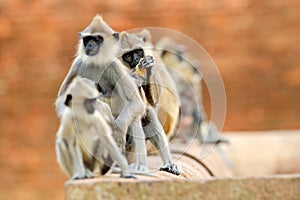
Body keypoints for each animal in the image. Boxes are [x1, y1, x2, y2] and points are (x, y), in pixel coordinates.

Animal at [55, 14, 149, 173]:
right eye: (87, 39)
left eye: (97, 39)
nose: (89, 45)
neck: (96, 62)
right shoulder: (78, 64)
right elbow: (62, 99)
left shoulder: (114, 65)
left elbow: (135, 102)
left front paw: (118, 133)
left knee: (134, 118)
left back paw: (139, 165)